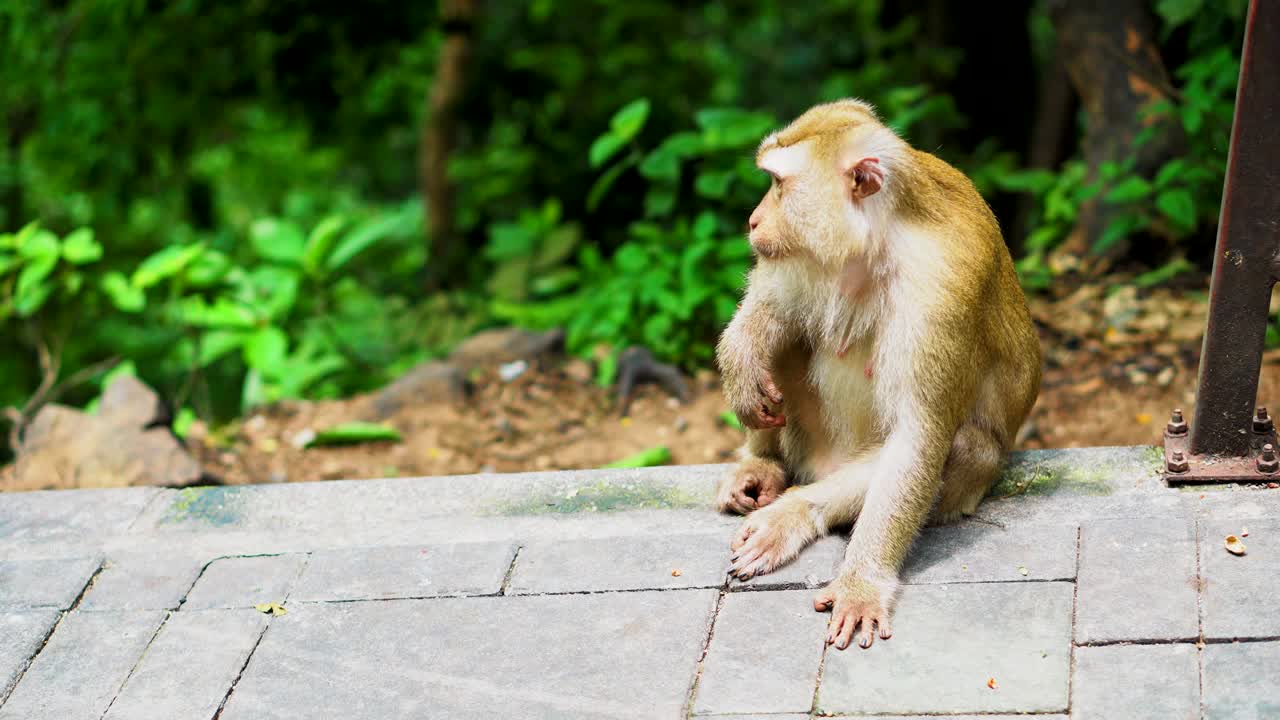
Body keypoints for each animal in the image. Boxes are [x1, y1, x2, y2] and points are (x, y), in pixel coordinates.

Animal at [714, 99, 1041, 650]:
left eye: (778, 184)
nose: (753, 220)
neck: (878, 240)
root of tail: (815, 464)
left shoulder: (940, 290)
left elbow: (917, 439)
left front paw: (861, 582)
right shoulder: (807, 253)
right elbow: (775, 302)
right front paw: (740, 356)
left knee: (962, 447)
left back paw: (797, 510)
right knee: (791, 333)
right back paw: (762, 466)